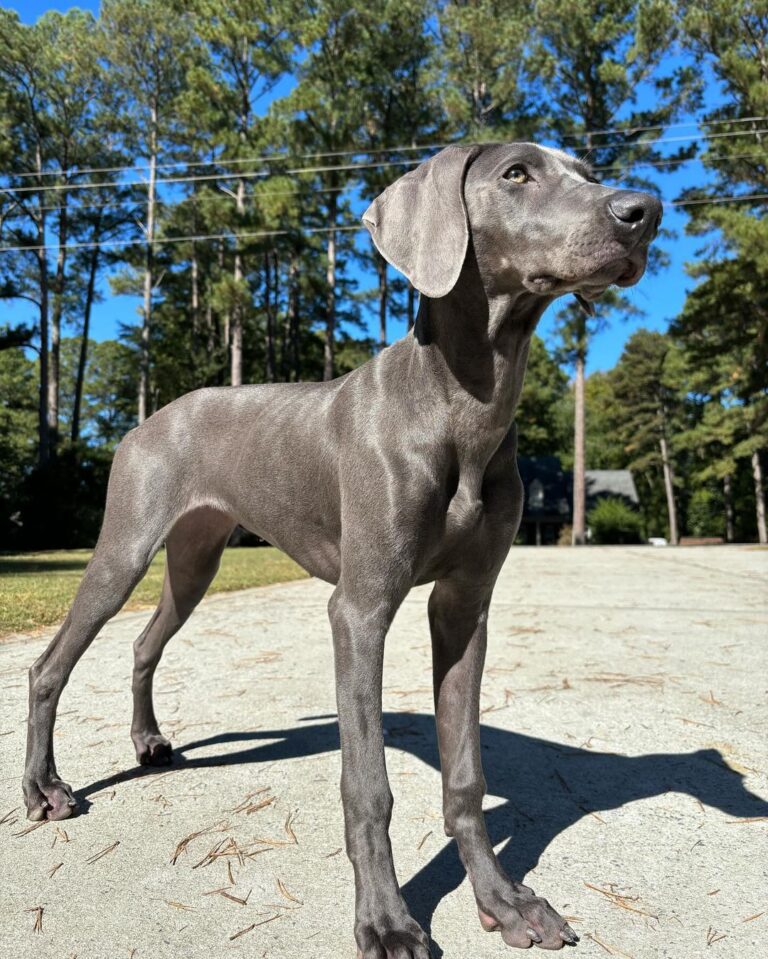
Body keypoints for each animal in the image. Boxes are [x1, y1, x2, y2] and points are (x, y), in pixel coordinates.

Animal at [24, 142, 660, 952]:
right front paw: (386, 921)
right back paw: (44, 789)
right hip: (125, 547)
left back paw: (149, 743)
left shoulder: (465, 607)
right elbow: (369, 786)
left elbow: (465, 775)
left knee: (143, 642)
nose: (645, 209)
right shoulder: (359, 610)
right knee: (50, 665)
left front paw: (503, 900)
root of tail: (148, 420)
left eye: (587, 170)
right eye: (517, 173)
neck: (462, 406)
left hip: (196, 558)